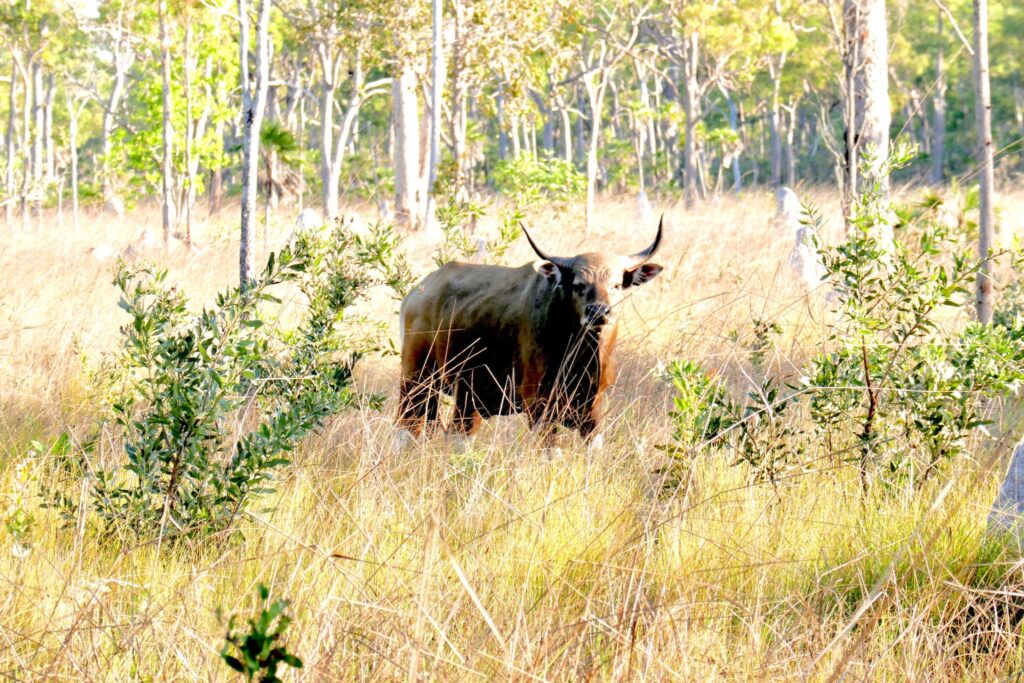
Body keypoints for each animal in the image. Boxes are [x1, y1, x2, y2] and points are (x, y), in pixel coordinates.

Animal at [395, 219, 665, 450]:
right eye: (578, 285)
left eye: (617, 284)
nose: (599, 312)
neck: (582, 356)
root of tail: (417, 293)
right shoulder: (538, 403)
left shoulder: (592, 407)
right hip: (415, 381)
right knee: (406, 430)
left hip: (465, 396)